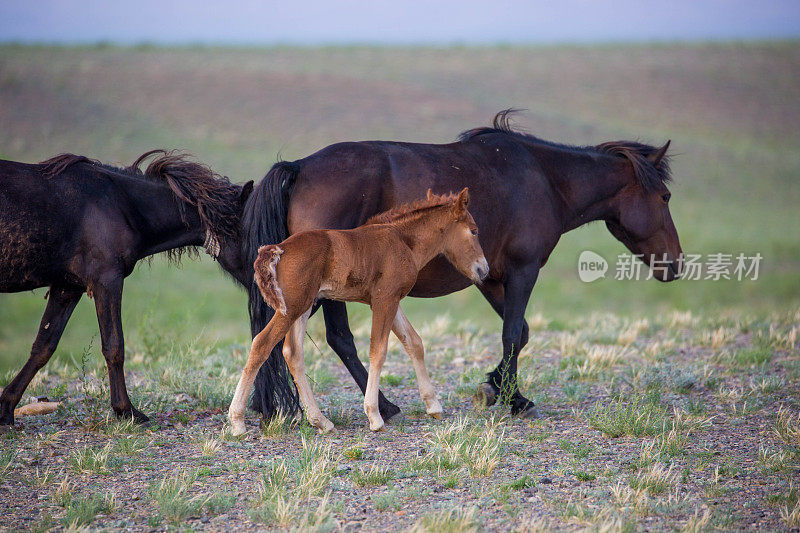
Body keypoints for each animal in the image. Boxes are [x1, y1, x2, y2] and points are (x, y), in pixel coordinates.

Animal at [0, 150, 253, 424]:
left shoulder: (68, 286)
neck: (121, 205)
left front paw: (6, 408)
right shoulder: (107, 280)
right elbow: (114, 346)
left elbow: (43, 346)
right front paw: (127, 410)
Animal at [227, 187, 488, 432]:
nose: (483, 270)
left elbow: (414, 342)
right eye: (474, 230)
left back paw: (321, 421)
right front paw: (374, 416)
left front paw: (433, 406)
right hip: (291, 308)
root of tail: (278, 249)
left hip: (303, 307)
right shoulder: (384, 300)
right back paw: (237, 421)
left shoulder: (390, 300)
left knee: (292, 353)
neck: (402, 240)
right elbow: (378, 351)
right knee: (262, 343)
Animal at [247, 110, 684, 422]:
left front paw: (497, 388)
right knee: (335, 339)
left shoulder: (489, 277)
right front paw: (511, 398)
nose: (675, 264)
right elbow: (513, 333)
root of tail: (299, 167)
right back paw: (382, 408)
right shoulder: (524, 270)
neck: (545, 179)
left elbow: (520, 332)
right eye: (664, 197)